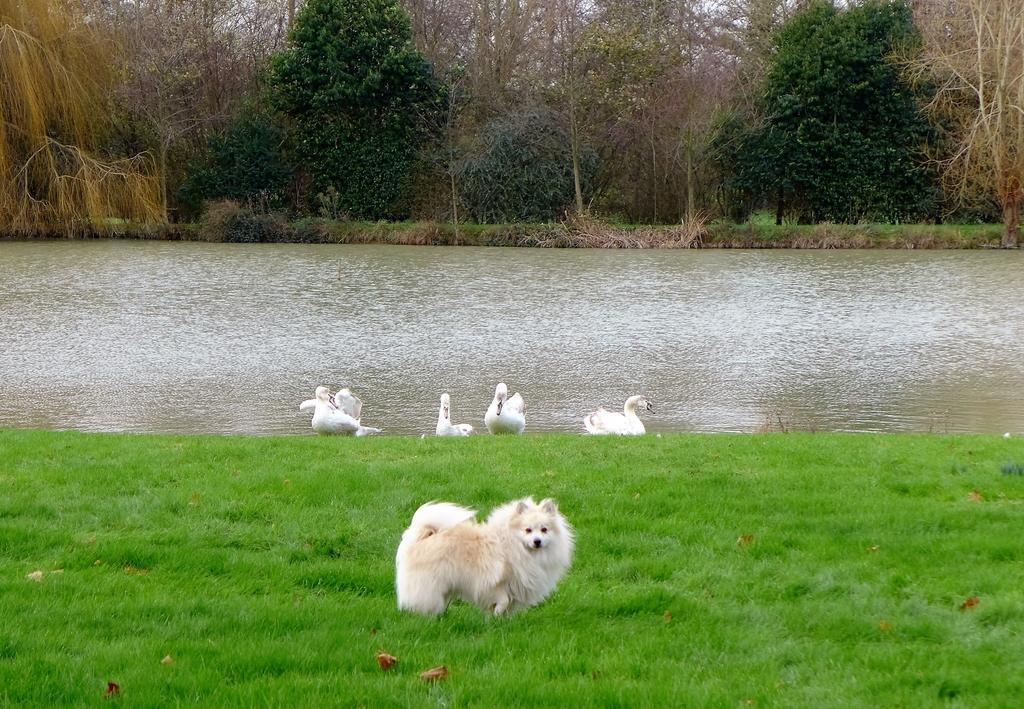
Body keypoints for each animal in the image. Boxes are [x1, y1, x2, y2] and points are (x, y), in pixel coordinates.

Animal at [393, 497, 573, 614]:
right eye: (528, 530)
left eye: (544, 530)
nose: (537, 541)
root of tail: (422, 536)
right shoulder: (491, 583)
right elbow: (503, 600)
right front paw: (497, 612)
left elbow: (508, 605)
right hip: (429, 584)